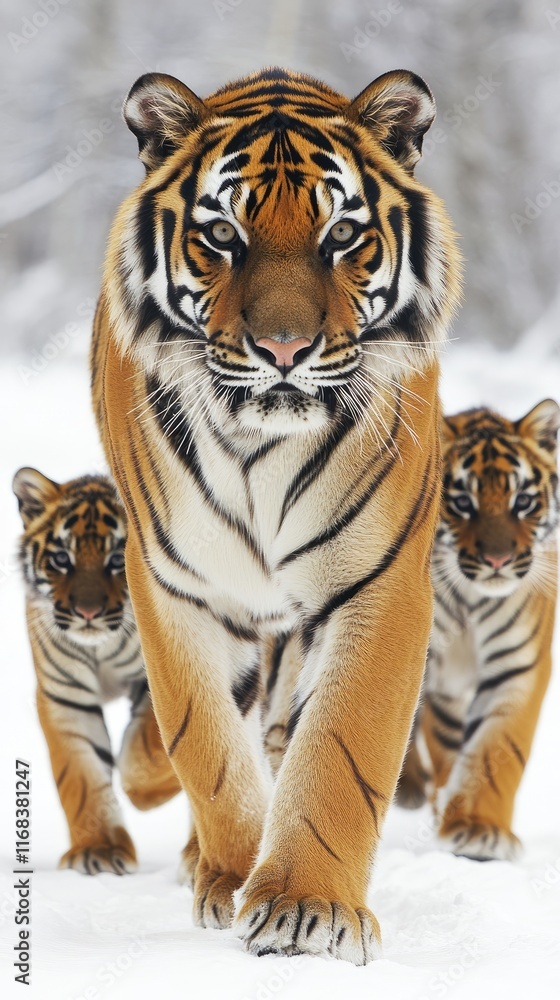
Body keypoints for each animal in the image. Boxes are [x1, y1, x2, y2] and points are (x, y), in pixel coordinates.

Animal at [13, 467, 180, 874]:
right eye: (61, 558)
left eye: (118, 559)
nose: (87, 613)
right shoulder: (65, 697)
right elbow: (82, 776)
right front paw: (99, 851)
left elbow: (149, 748)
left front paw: (143, 792)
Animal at [91, 66, 461, 963]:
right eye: (223, 235)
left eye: (342, 235)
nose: (285, 350)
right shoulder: (174, 585)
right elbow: (205, 743)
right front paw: (230, 878)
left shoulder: (380, 583)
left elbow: (340, 748)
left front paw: (305, 906)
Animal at [397, 400, 559, 862]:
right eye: (461, 502)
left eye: (523, 501)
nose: (498, 560)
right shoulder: (438, 677)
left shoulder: (518, 669)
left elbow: (493, 751)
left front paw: (479, 830)